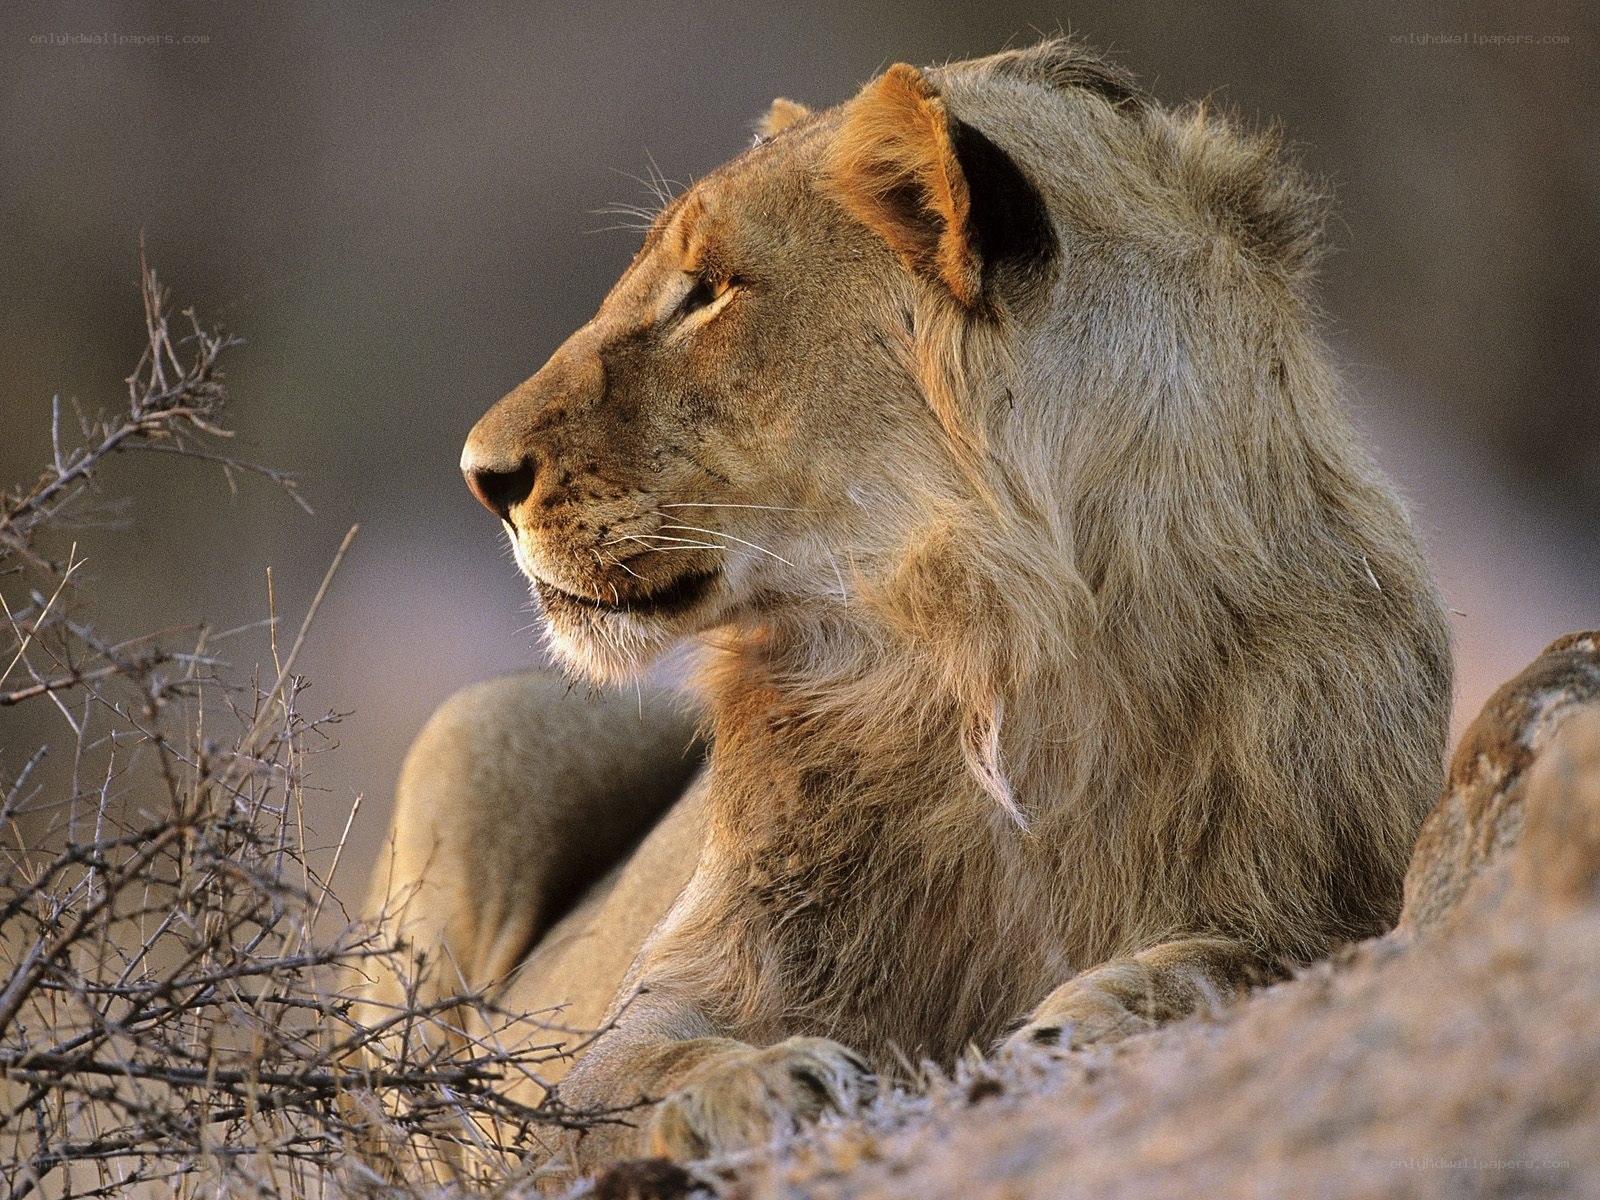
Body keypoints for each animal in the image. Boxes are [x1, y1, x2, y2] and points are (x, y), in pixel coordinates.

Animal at [359, 39, 1453, 1171]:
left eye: (707, 293)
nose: (480, 475)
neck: (994, 657)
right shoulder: (654, 1011)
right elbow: (630, 1073)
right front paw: (760, 1081)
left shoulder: (1347, 886)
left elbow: (1255, 954)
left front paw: (1100, 1008)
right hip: (480, 726)